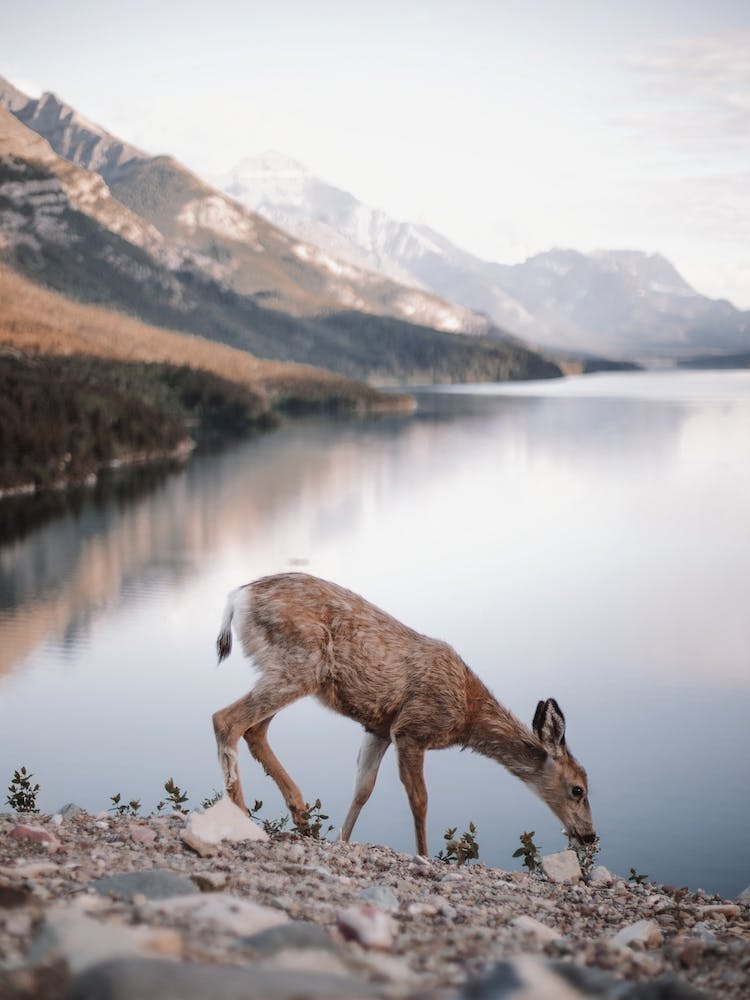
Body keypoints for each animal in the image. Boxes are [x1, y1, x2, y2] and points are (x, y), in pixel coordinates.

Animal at [212, 572, 596, 855]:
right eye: (578, 789)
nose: (590, 835)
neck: (467, 714)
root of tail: (236, 599)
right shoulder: (412, 728)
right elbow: (420, 799)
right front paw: (424, 855)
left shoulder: (379, 728)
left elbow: (362, 789)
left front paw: (342, 840)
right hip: (300, 665)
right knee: (227, 719)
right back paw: (244, 815)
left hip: (286, 671)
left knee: (254, 730)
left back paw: (301, 814)